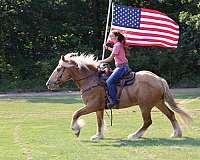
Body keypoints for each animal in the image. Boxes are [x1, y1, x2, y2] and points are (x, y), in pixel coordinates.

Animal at [46, 53, 191, 141]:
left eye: (58, 69)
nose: (49, 84)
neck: (92, 80)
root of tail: (159, 79)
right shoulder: (98, 108)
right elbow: (99, 122)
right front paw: (98, 136)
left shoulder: (92, 105)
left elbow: (76, 113)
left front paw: (76, 130)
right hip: (158, 102)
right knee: (170, 114)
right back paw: (176, 133)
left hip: (145, 105)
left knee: (147, 121)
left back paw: (134, 135)